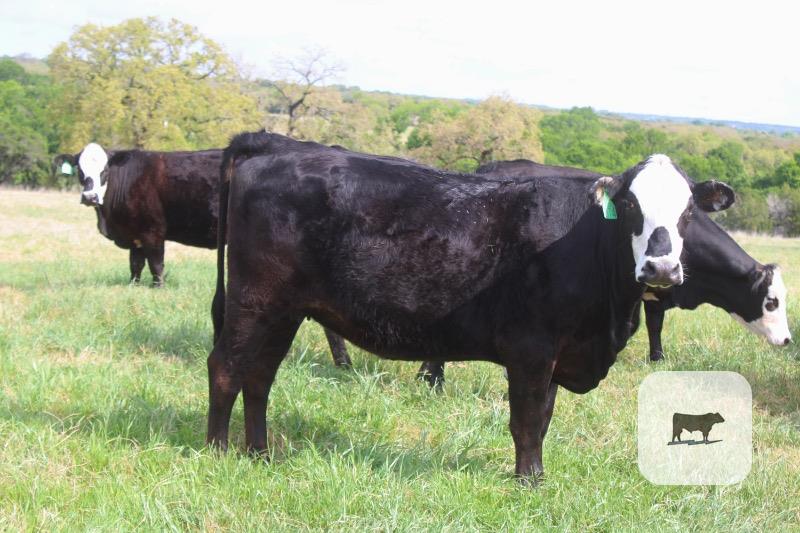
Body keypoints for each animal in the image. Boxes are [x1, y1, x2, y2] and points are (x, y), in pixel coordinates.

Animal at [56, 143, 353, 366]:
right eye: (79, 170)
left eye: (104, 169)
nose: (90, 197)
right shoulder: (135, 237)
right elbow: (135, 266)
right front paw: (134, 287)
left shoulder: (153, 232)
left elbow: (156, 265)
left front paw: (159, 289)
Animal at [208, 131, 734, 482]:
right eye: (629, 207)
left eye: (688, 211)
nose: (661, 268)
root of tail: (275, 147)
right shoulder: (531, 349)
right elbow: (526, 419)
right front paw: (528, 482)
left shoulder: (559, 351)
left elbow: (544, 418)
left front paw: (535, 475)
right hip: (255, 299)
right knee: (226, 367)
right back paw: (217, 451)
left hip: (283, 309)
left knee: (260, 376)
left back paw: (259, 454)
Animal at [416, 159, 790, 385]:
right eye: (771, 302)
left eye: (687, 210)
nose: (787, 339)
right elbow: (653, 322)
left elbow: (654, 325)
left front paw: (657, 359)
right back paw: (431, 377)